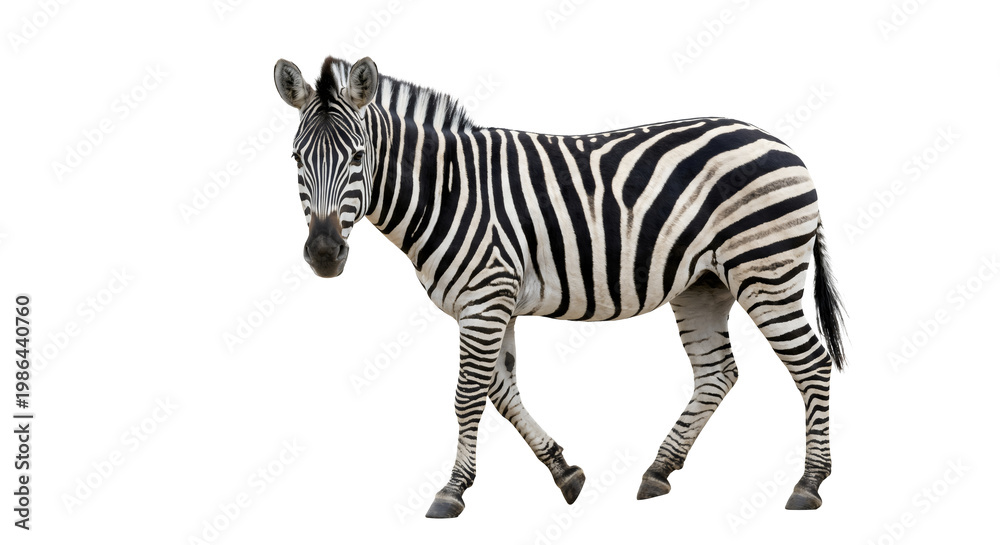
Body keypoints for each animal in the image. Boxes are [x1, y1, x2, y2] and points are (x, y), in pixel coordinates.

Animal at [273, 56, 847, 518]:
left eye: (357, 158)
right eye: (297, 160)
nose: (323, 253)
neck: (448, 189)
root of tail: (780, 142)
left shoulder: (486, 296)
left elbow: (467, 396)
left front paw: (452, 491)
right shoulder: (489, 303)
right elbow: (501, 394)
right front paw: (564, 472)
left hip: (764, 269)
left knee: (811, 363)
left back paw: (809, 483)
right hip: (704, 284)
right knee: (717, 374)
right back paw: (659, 470)